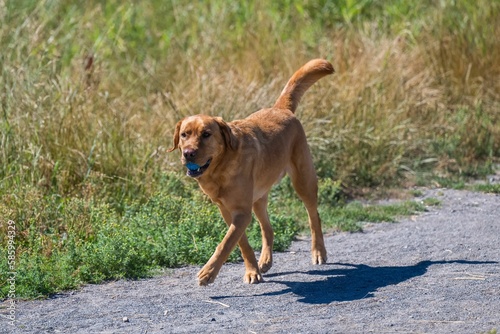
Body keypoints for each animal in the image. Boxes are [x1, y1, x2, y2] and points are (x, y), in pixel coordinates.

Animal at [169, 59, 336, 284]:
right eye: (184, 134)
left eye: (206, 134)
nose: (188, 153)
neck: (219, 169)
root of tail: (280, 109)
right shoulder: (228, 211)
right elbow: (241, 244)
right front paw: (252, 270)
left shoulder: (241, 212)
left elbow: (225, 243)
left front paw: (208, 272)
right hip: (258, 199)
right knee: (268, 229)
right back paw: (265, 260)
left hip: (304, 182)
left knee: (314, 217)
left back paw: (318, 251)